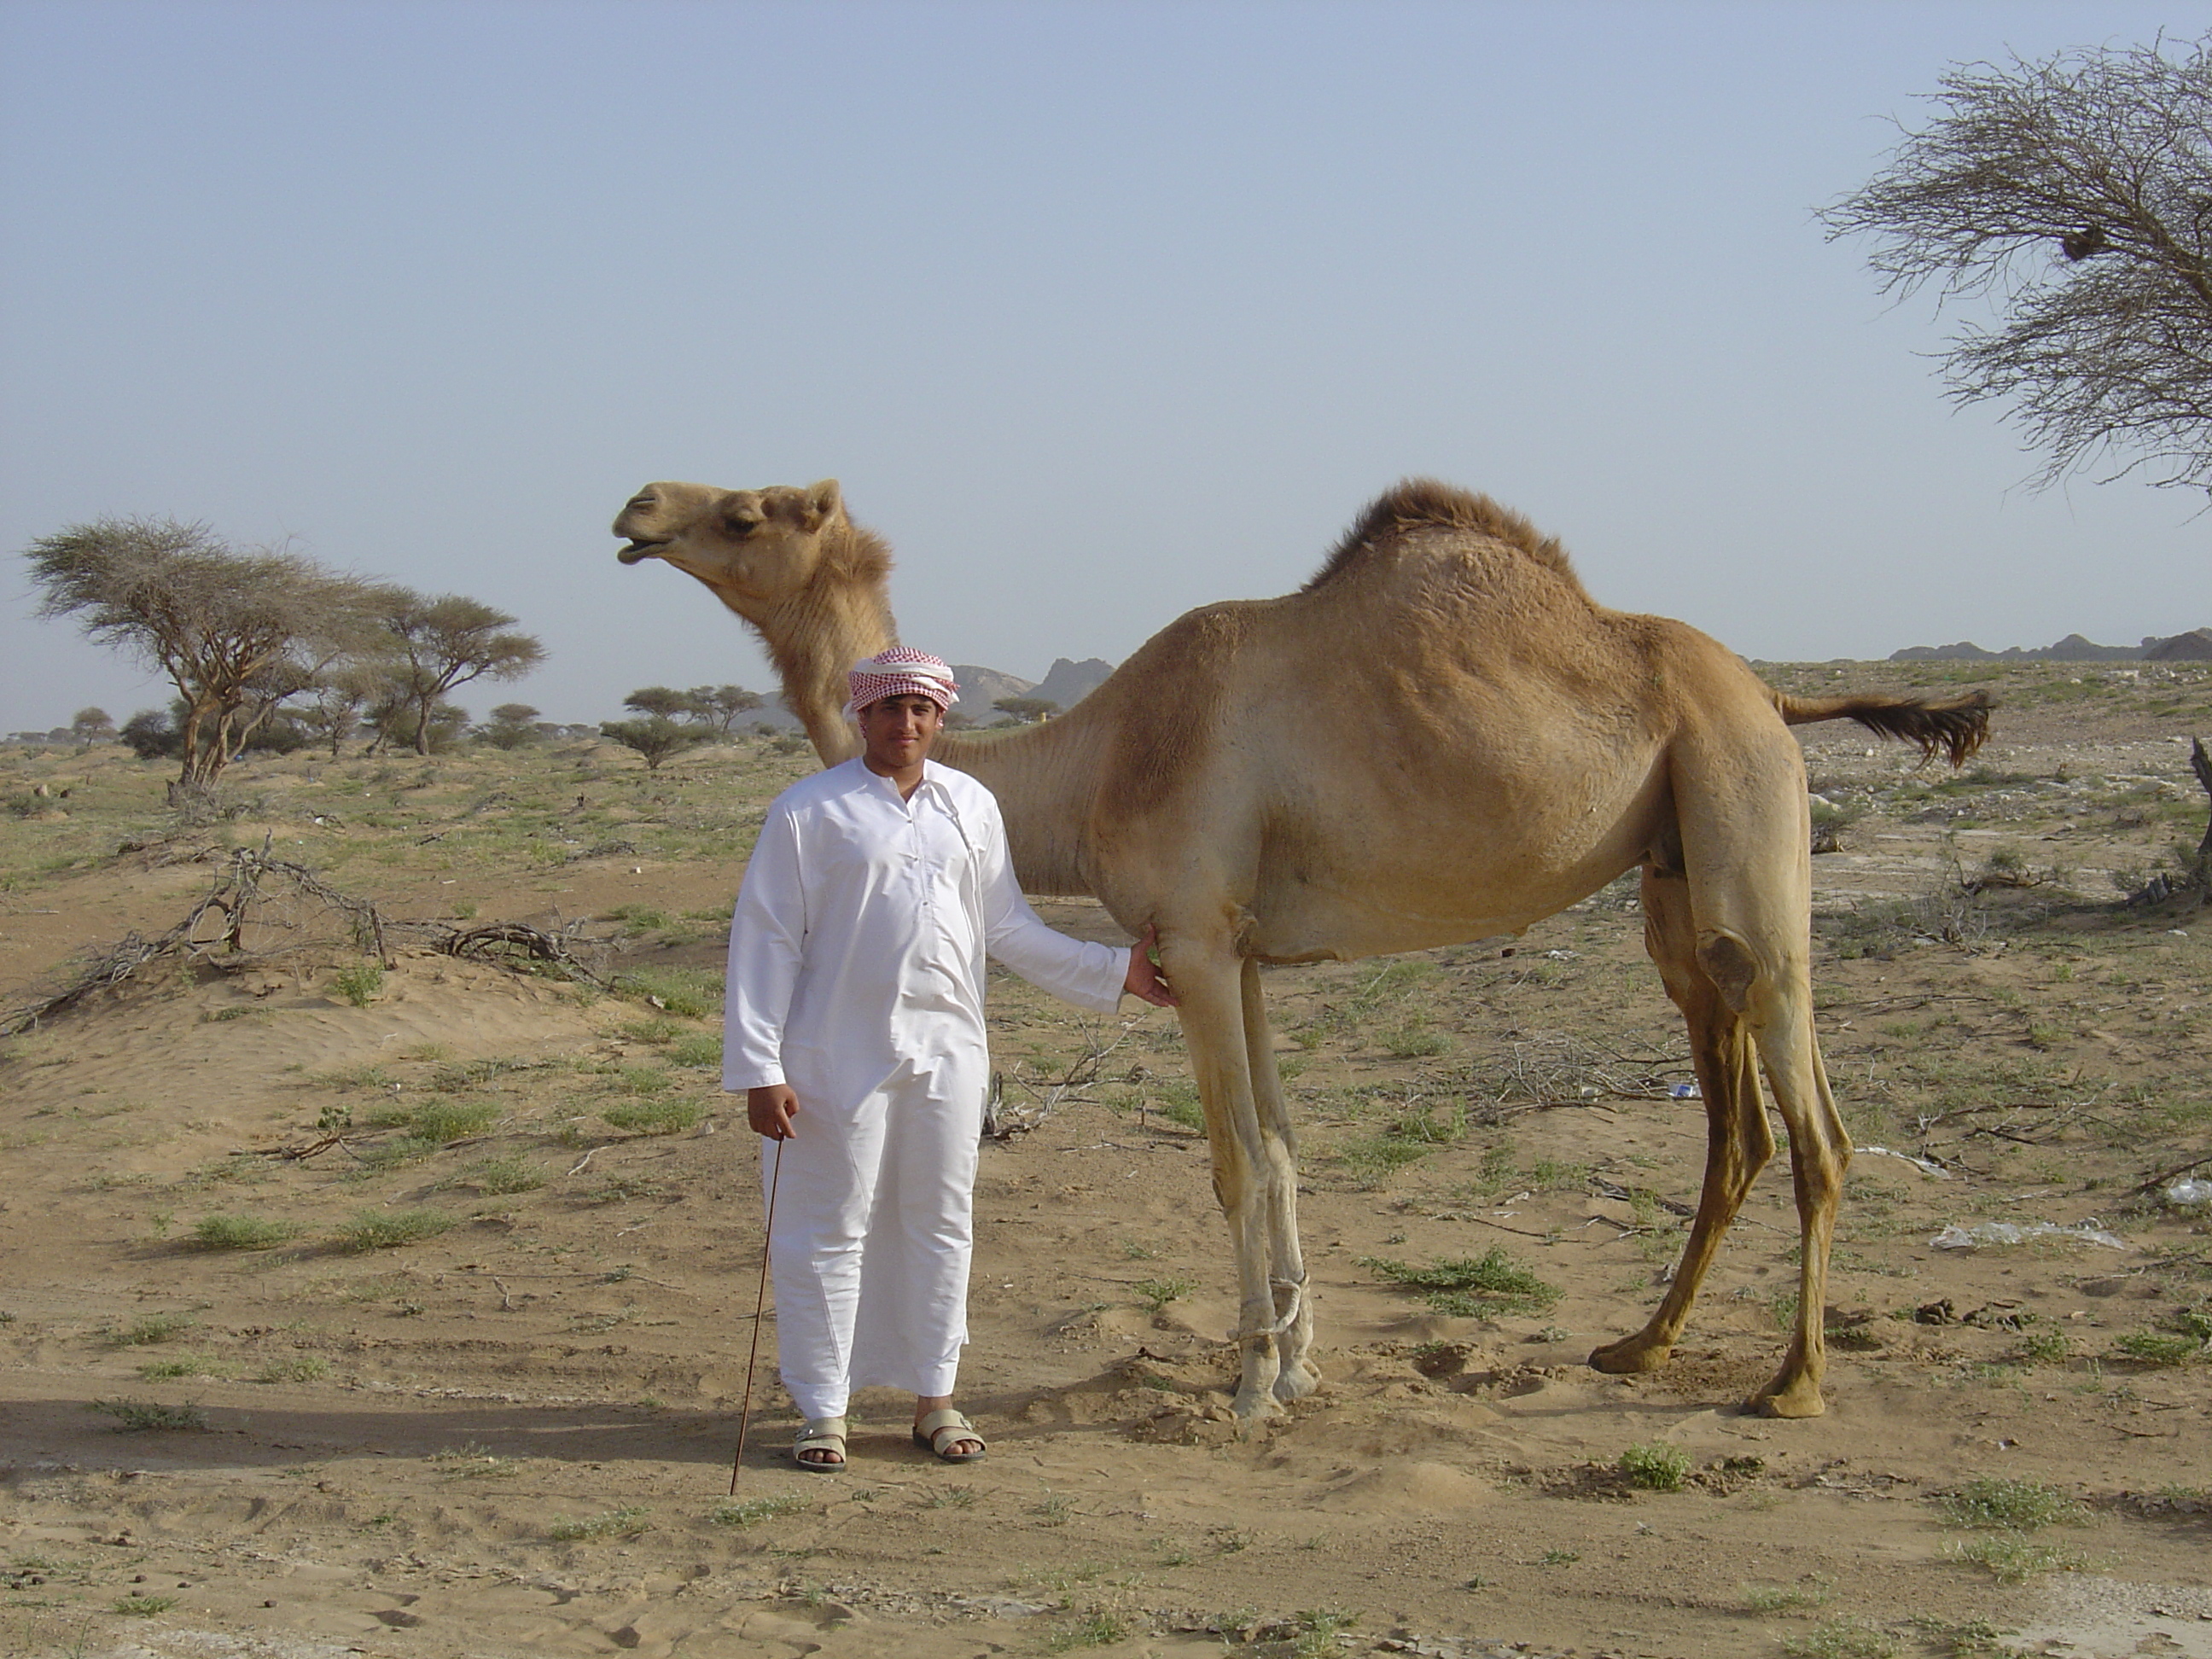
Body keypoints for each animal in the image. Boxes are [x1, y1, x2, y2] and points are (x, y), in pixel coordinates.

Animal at [614, 473, 2000, 1424]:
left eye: (745, 513)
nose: (637, 507)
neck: (1094, 763)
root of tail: (1774, 692)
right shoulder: (1241, 950)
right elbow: (1282, 1148)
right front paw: (1300, 1358)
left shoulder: (1193, 939)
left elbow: (1235, 1162)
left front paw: (1247, 1387)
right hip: (1675, 869)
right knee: (1738, 1125)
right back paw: (1640, 1347)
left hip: (1745, 823)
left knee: (1813, 1123)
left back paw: (1792, 1383)